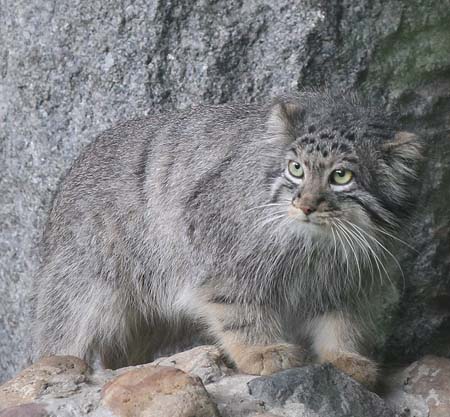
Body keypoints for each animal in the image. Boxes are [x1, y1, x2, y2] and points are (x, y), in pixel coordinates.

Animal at [32, 92, 422, 386]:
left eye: (341, 176)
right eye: (296, 169)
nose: (305, 205)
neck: (317, 249)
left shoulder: (348, 281)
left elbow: (341, 323)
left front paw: (345, 357)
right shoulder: (221, 261)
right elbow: (240, 313)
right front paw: (260, 351)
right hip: (90, 282)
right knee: (65, 326)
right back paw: (60, 360)